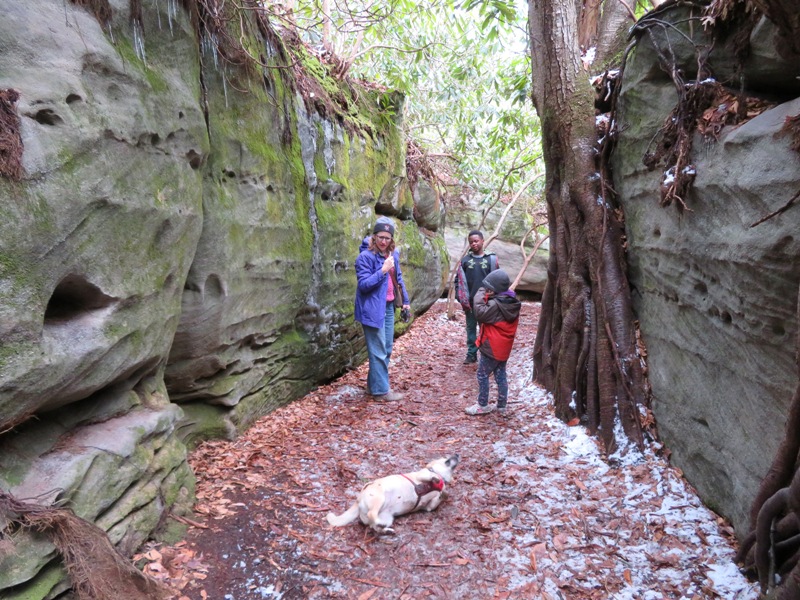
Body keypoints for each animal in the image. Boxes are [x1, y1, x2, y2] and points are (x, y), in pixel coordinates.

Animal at [324, 454, 460, 536]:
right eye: (447, 460)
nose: (457, 454)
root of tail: (359, 500)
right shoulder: (422, 475)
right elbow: (432, 477)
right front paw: (436, 480)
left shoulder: (429, 507)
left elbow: (442, 495)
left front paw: (444, 492)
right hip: (379, 498)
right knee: (372, 515)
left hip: (387, 518)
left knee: (375, 526)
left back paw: (386, 530)